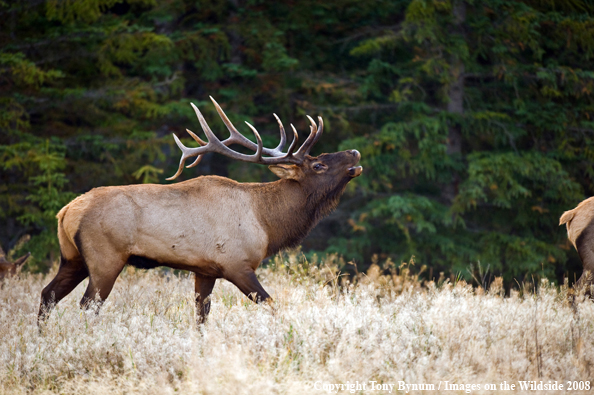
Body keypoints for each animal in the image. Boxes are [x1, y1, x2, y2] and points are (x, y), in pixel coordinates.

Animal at [39, 96, 360, 324]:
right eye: (318, 164)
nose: (355, 152)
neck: (268, 224)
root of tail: (65, 212)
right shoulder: (237, 264)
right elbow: (271, 305)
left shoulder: (205, 270)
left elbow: (201, 317)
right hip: (105, 258)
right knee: (86, 305)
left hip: (72, 257)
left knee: (47, 294)